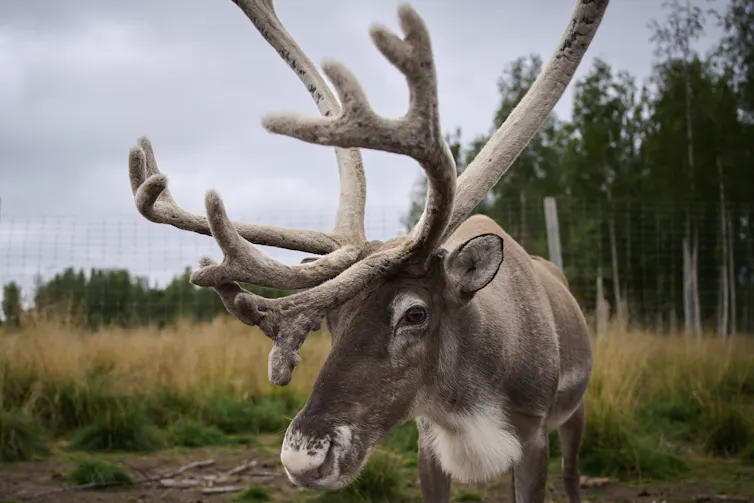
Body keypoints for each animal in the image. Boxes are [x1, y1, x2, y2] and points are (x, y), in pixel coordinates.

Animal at [126, 1, 608, 501]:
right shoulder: (428, 443)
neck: (470, 407)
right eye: (333, 319)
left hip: (577, 411)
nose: (303, 458)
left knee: (572, 472)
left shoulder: (533, 437)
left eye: (415, 313)